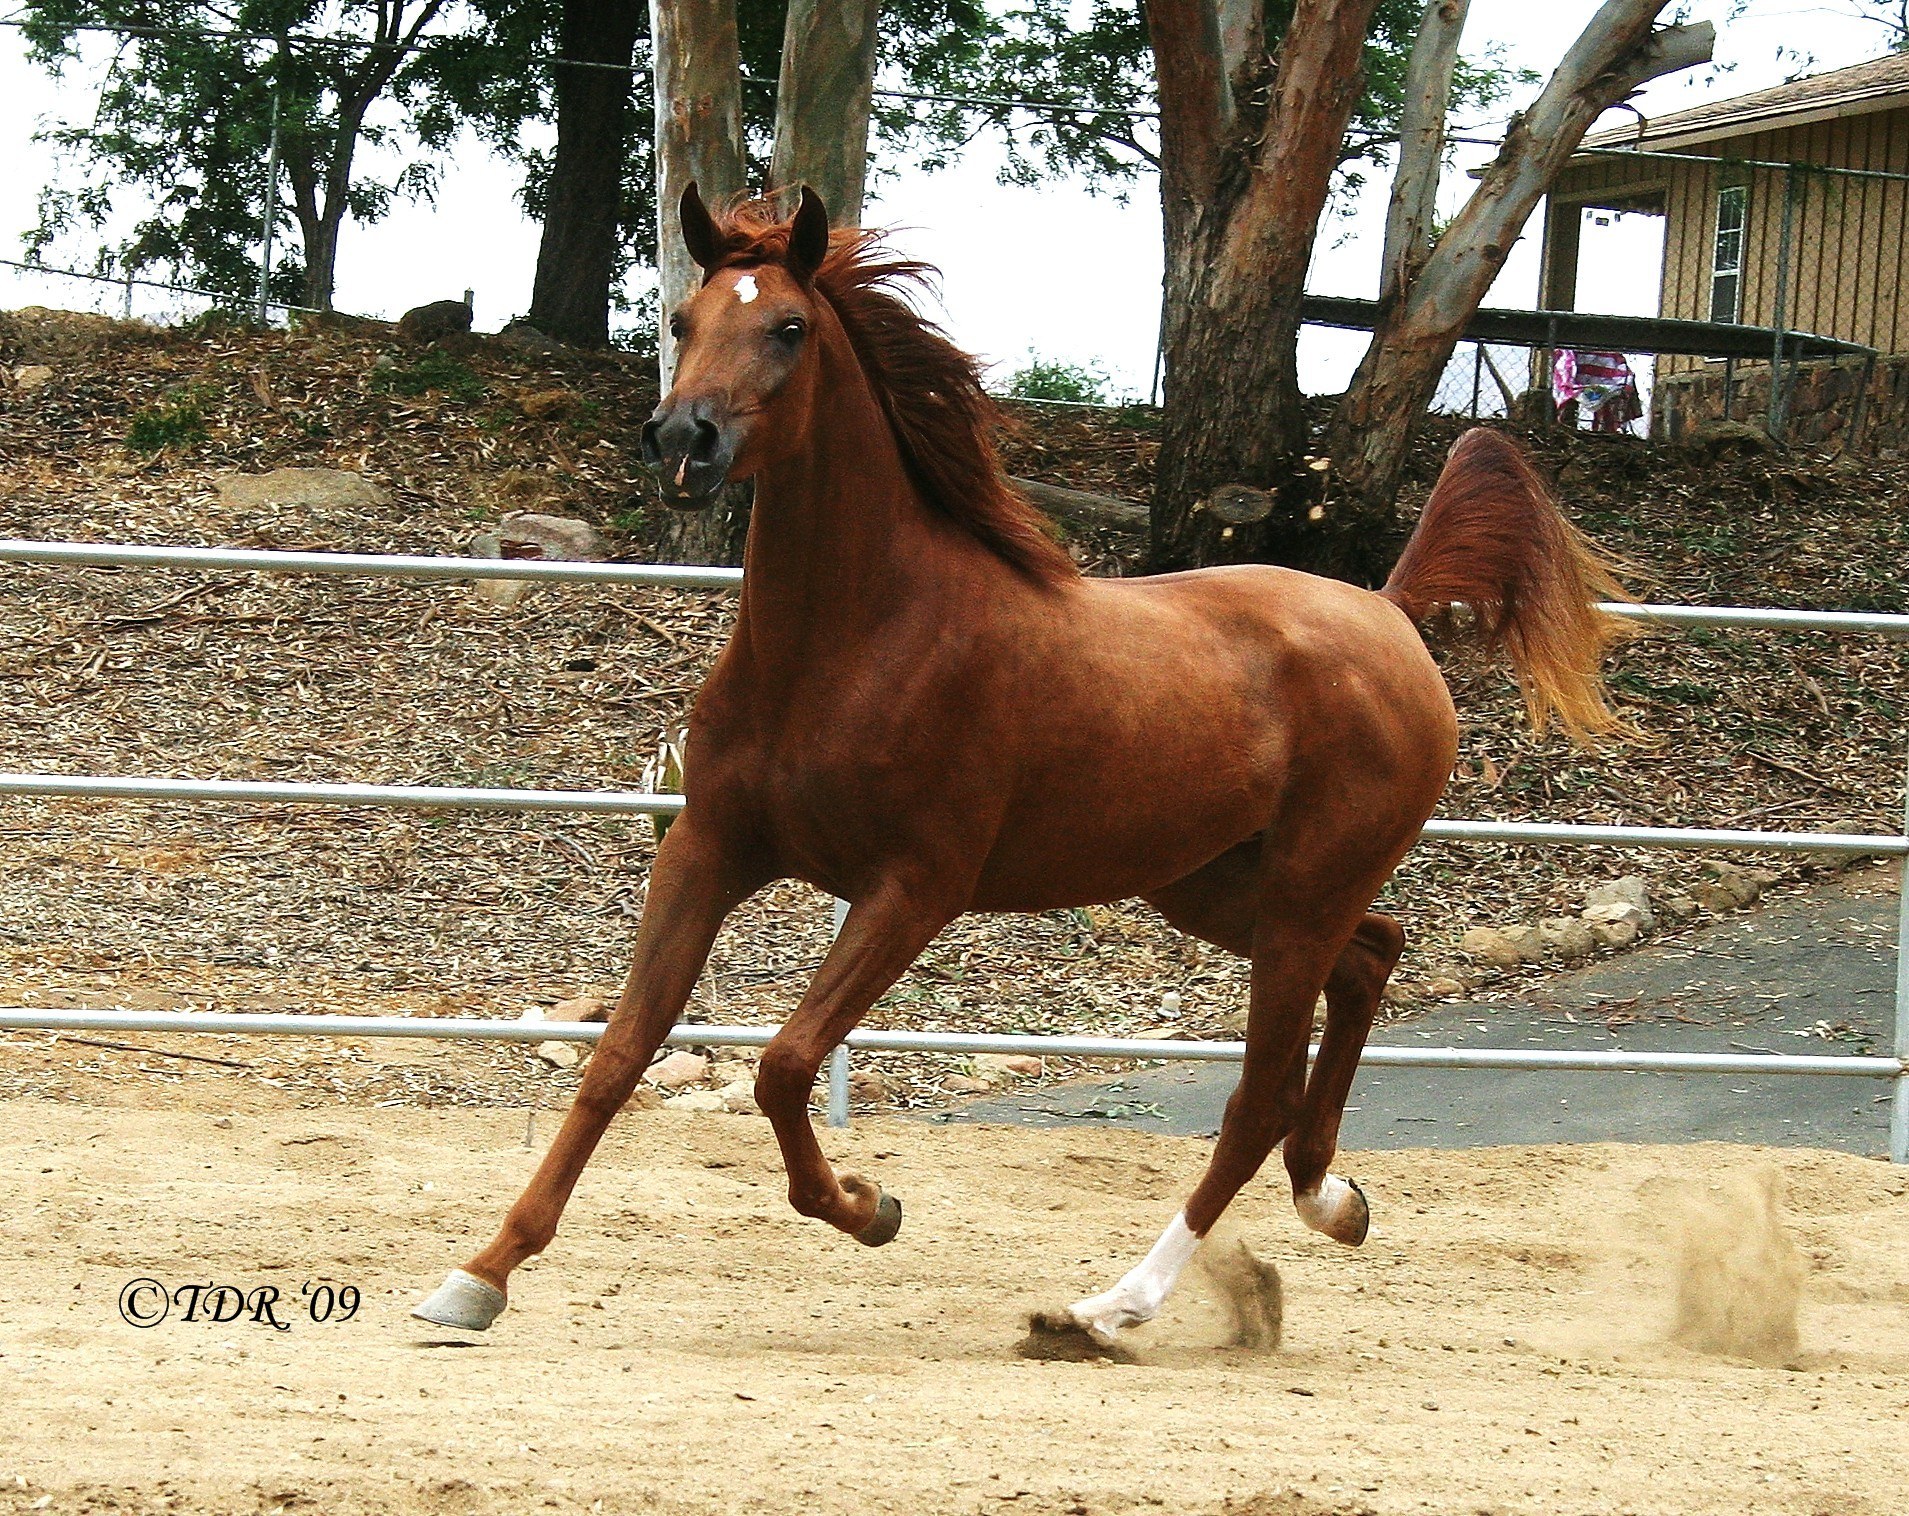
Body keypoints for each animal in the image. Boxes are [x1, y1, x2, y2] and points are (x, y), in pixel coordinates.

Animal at [413, 185, 1627, 1349]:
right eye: (683, 319)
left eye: (790, 328)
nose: (682, 440)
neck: (850, 641)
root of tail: (1384, 611)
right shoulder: (710, 849)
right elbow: (618, 1054)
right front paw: (479, 1275)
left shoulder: (914, 888)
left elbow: (784, 1064)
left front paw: (870, 1207)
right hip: (1216, 886)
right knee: (1370, 960)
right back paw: (1331, 1199)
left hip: (1297, 896)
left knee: (1252, 1101)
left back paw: (1107, 1309)